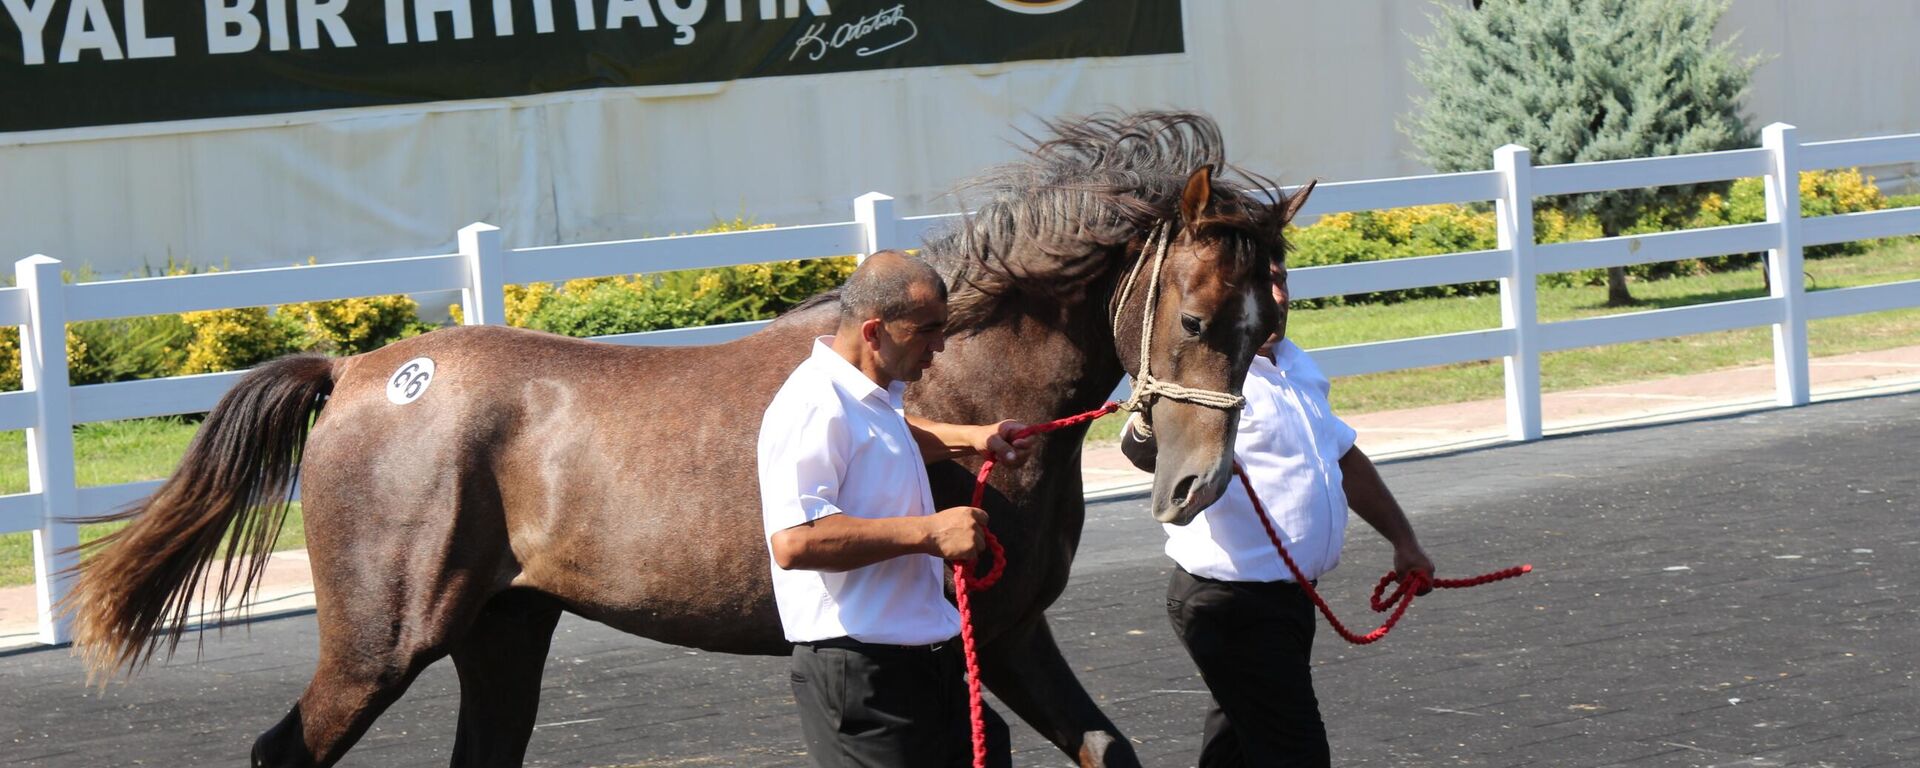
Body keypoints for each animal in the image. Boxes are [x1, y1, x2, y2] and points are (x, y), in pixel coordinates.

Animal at [67, 112, 1313, 768]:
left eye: (1274, 324)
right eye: (1195, 319)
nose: (1194, 483)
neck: (948, 385)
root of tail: (360, 371)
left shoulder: (1005, 629)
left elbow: (1107, 749)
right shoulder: (974, 636)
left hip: (502, 634)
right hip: (381, 643)